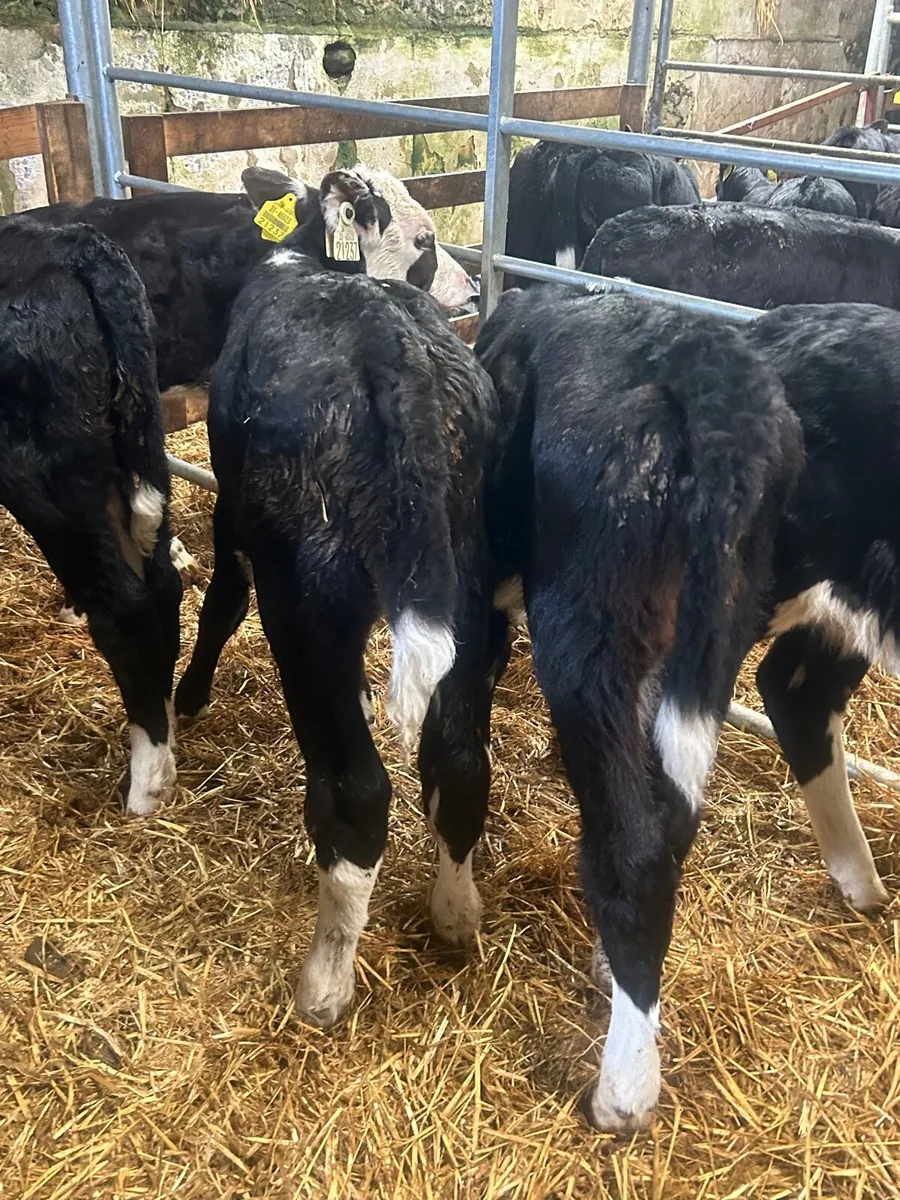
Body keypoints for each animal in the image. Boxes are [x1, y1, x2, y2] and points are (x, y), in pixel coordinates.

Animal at [0, 216, 182, 816]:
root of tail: (72, 245)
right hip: (132, 452)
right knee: (161, 586)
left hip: (42, 477)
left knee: (125, 606)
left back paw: (147, 782)